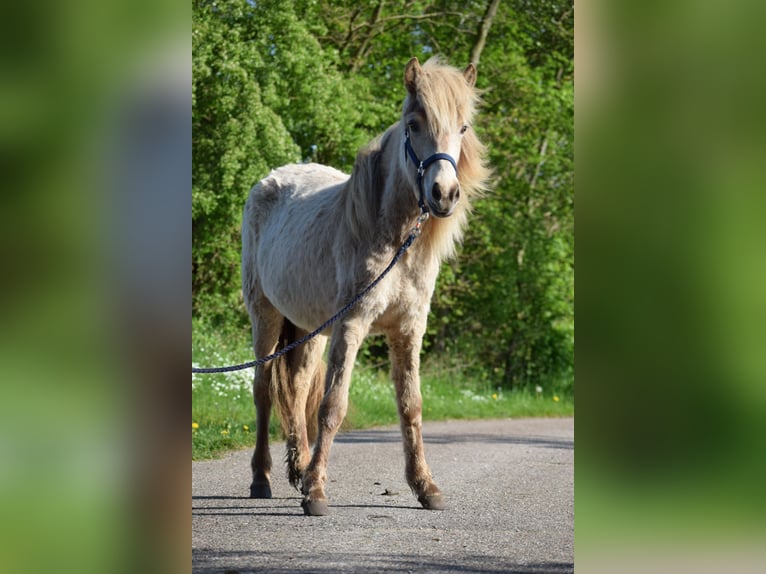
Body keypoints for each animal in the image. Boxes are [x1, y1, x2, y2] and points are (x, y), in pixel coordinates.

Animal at [242, 57, 492, 516]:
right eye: (413, 123)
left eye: (463, 127)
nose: (444, 194)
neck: (394, 239)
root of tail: (270, 179)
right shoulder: (352, 325)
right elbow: (332, 406)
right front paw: (317, 493)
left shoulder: (408, 331)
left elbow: (411, 406)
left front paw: (425, 486)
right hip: (265, 317)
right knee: (264, 391)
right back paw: (262, 479)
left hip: (310, 329)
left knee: (297, 388)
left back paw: (298, 467)